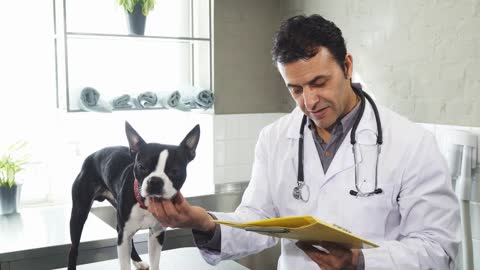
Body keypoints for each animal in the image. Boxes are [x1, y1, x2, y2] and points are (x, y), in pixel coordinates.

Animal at [67, 123, 199, 270]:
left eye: (175, 171)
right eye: (142, 167)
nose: (155, 181)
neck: (146, 204)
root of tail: (91, 156)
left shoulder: (156, 234)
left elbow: (155, 263)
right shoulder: (124, 236)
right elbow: (124, 264)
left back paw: (138, 261)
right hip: (79, 213)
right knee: (74, 248)